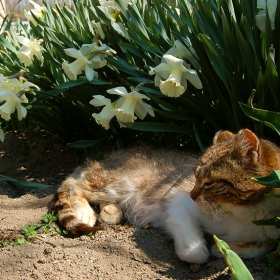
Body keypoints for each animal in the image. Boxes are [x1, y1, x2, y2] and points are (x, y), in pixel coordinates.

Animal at [51, 128, 280, 264]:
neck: (244, 214)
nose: (193, 194)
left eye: (209, 182)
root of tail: (103, 160)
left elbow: (262, 248)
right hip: (120, 181)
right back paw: (85, 212)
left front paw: (222, 249)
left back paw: (111, 212)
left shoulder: (270, 234)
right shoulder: (178, 201)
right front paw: (208, 249)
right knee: (77, 185)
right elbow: (194, 252)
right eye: (195, 176)